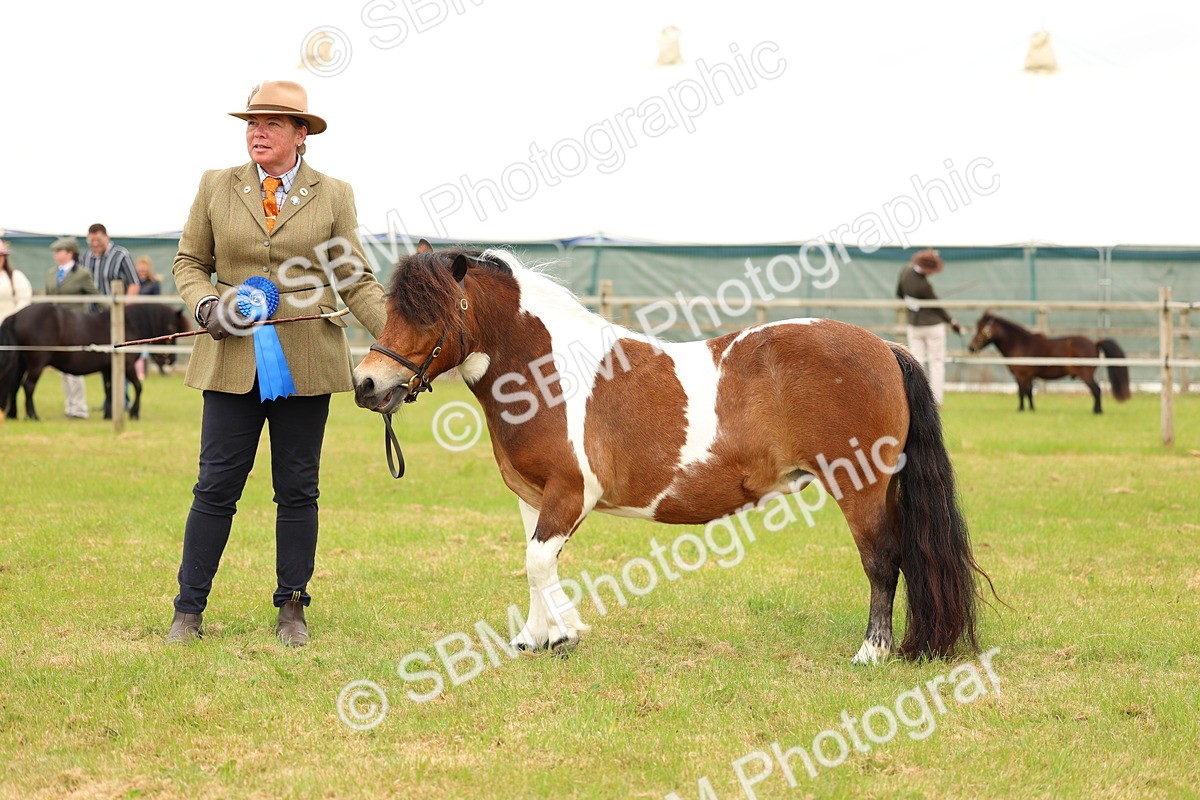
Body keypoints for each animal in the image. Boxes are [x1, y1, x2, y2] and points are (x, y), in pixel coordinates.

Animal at [0, 303, 189, 421]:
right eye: (172, 328)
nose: (170, 359)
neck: (128, 325)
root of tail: (15, 316)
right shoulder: (127, 366)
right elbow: (138, 386)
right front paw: (134, 413)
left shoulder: (108, 368)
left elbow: (109, 390)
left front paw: (109, 415)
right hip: (36, 364)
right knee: (28, 386)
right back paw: (33, 415)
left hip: (21, 364)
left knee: (14, 386)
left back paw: (12, 414)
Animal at [352, 242, 990, 664]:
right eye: (391, 307)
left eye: (430, 313)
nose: (366, 385)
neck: (546, 372)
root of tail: (884, 346)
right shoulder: (533, 497)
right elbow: (535, 564)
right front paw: (534, 638)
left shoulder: (571, 495)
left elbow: (538, 562)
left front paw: (566, 632)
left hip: (859, 484)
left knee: (884, 559)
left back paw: (872, 651)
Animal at [967, 311, 1131, 414]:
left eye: (982, 330)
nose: (971, 347)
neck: (1020, 343)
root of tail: (1094, 343)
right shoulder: (1029, 376)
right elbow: (1029, 393)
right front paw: (1031, 409)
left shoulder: (1020, 375)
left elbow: (1021, 393)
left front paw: (1021, 410)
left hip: (1085, 374)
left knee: (1096, 390)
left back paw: (1097, 411)